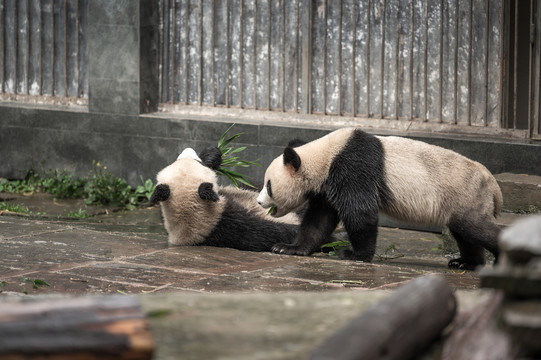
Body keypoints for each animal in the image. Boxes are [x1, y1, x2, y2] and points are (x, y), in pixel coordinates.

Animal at [258, 128, 502, 268]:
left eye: (268, 185)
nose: (259, 202)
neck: (324, 157)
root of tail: (494, 185)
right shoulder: (327, 185)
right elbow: (318, 220)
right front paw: (288, 248)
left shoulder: (352, 167)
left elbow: (360, 212)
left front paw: (354, 254)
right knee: (463, 233)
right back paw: (465, 263)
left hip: (467, 194)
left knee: (474, 227)